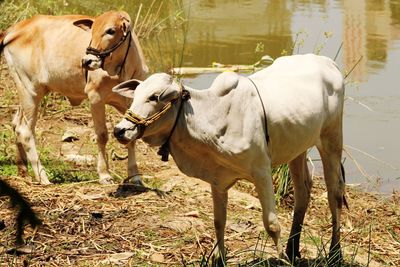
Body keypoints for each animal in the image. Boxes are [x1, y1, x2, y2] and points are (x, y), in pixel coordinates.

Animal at [0, 11, 148, 186]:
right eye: (92, 31)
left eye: (110, 31)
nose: (87, 61)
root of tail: (16, 28)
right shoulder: (95, 98)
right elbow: (102, 136)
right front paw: (104, 175)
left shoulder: (131, 104)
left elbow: (131, 136)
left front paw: (135, 177)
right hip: (30, 91)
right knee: (25, 131)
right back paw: (43, 178)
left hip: (27, 92)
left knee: (16, 124)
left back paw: (23, 171)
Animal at [112, 53, 346, 264]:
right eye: (135, 95)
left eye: (154, 97)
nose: (119, 130)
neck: (210, 116)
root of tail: (327, 62)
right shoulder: (218, 180)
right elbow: (219, 221)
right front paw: (220, 258)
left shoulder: (262, 171)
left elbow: (271, 224)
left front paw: (281, 260)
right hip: (297, 148)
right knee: (302, 193)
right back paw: (292, 250)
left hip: (331, 139)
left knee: (334, 195)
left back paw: (334, 253)